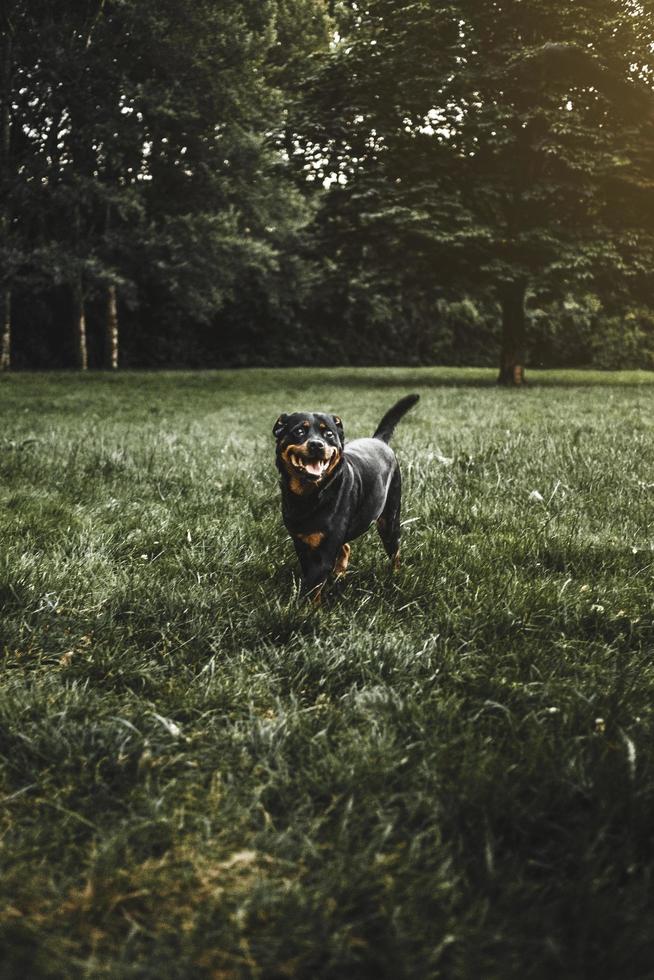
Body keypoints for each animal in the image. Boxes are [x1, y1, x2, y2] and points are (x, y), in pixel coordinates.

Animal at [272, 394, 420, 600]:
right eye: (299, 431)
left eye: (329, 434)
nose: (317, 444)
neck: (310, 495)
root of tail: (379, 440)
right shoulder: (301, 542)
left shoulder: (324, 553)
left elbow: (312, 588)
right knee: (346, 547)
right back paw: (340, 574)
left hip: (389, 519)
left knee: (394, 551)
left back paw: (396, 576)